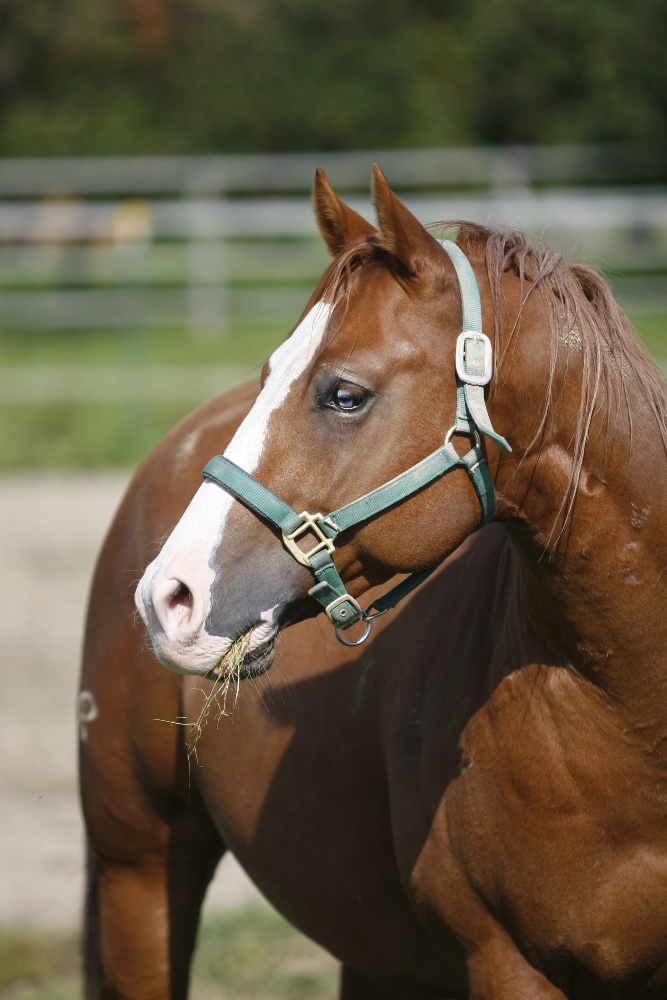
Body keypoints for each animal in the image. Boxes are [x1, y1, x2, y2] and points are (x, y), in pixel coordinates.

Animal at [81, 168, 667, 996]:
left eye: (345, 394)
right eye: (269, 374)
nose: (169, 597)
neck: (632, 720)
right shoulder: (506, 962)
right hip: (137, 870)